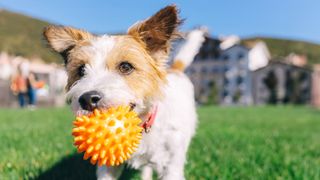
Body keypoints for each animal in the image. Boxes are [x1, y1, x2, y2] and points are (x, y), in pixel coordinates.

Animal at [43, 4, 205, 179]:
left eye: (126, 67)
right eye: (81, 70)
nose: (86, 99)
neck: (140, 125)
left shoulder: (171, 165)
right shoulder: (107, 164)